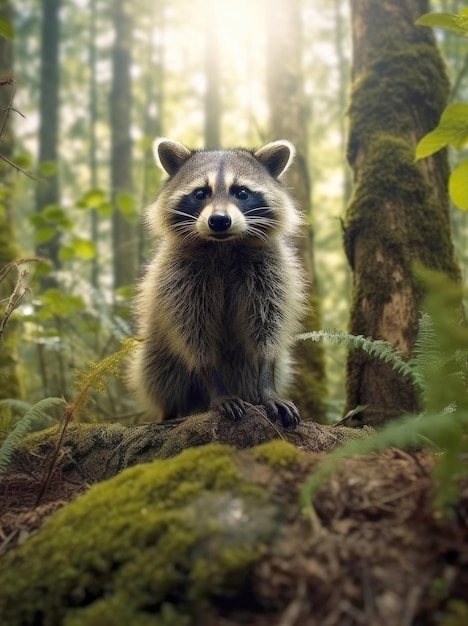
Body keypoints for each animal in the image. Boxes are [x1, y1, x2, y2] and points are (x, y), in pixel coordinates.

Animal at [128, 138, 306, 424]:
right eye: (201, 193)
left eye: (241, 192)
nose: (220, 221)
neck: (224, 245)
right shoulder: (178, 278)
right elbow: (194, 337)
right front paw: (216, 384)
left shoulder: (270, 272)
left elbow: (268, 329)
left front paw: (267, 384)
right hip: (156, 351)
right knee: (160, 373)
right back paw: (170, 412)